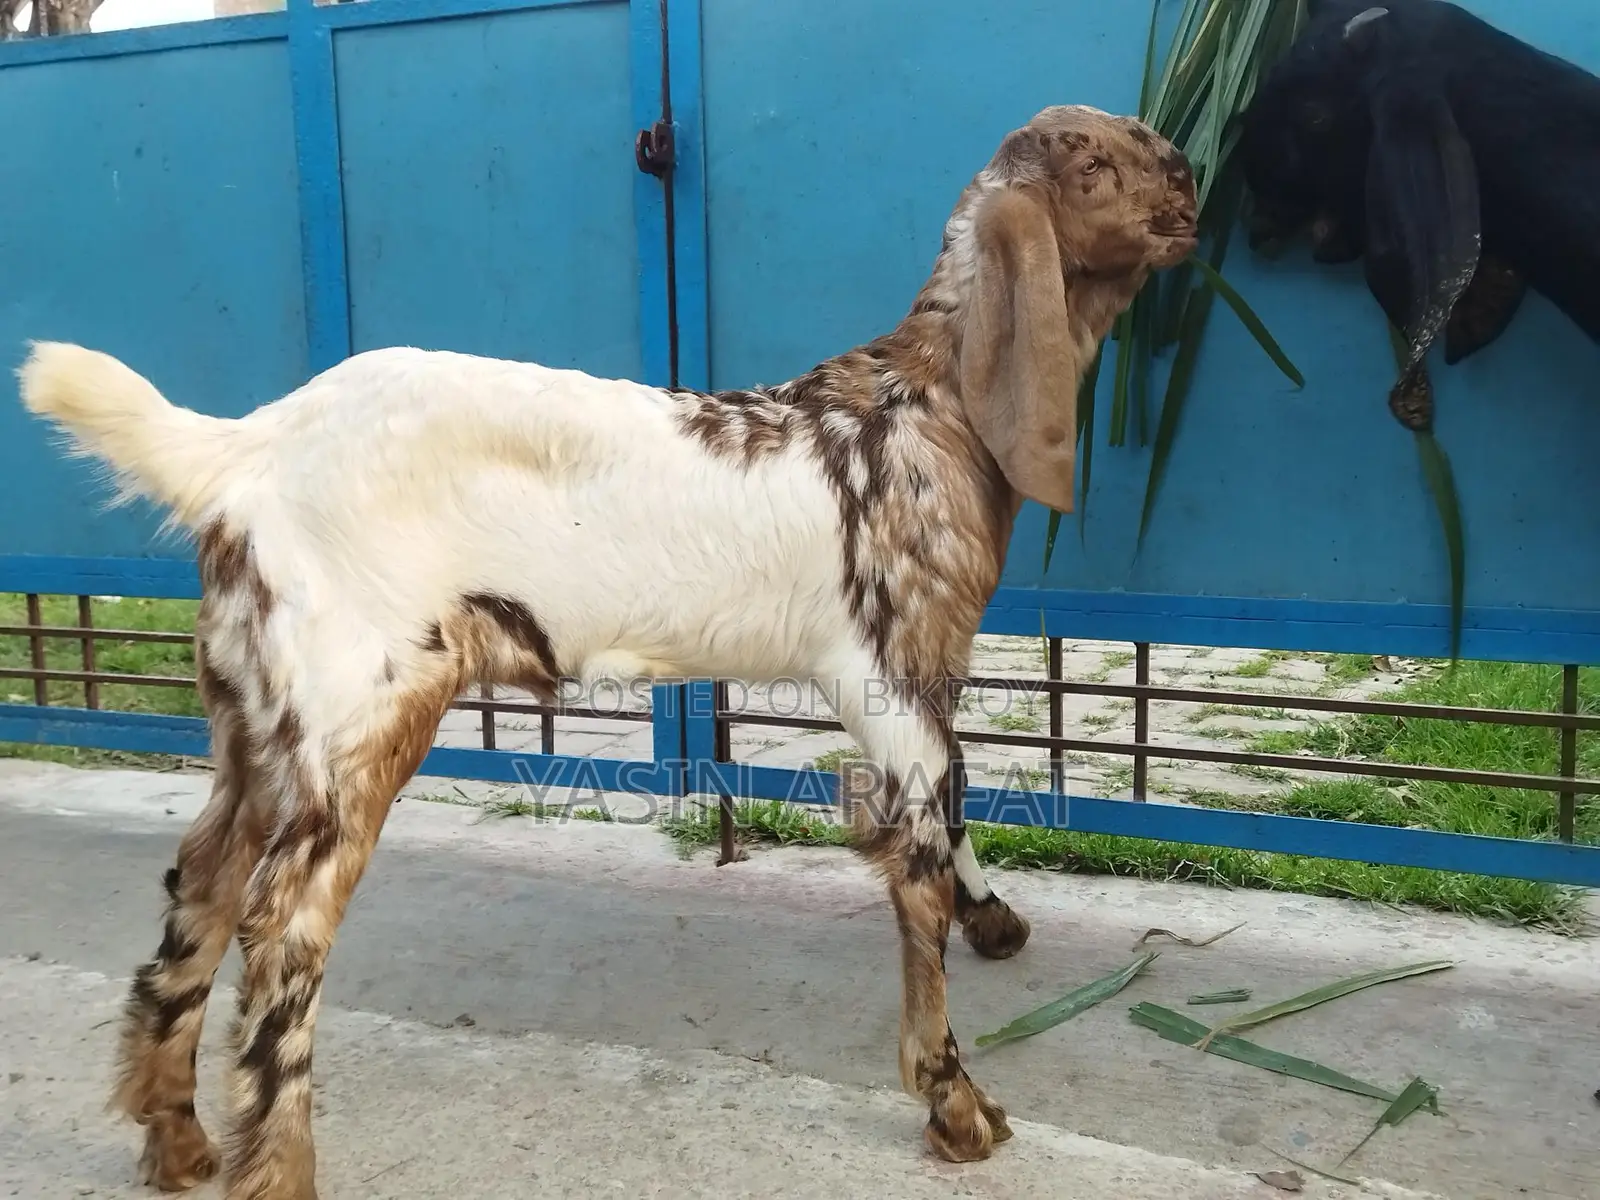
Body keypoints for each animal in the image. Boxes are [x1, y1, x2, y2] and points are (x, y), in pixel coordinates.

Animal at [16, 104, 1196, 1199]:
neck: (925, 407)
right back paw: (275, 1168)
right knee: (282, 927)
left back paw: (177, 1140)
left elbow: (954, 817)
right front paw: (957, 1106)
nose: (1189, 178)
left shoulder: (931, 673)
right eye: (1095, 165)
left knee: (205, 878)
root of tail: (245, 452)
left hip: (257, 711)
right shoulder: (887, 669)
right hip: (360, 703)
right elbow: (916, 856)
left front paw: (995, 921)